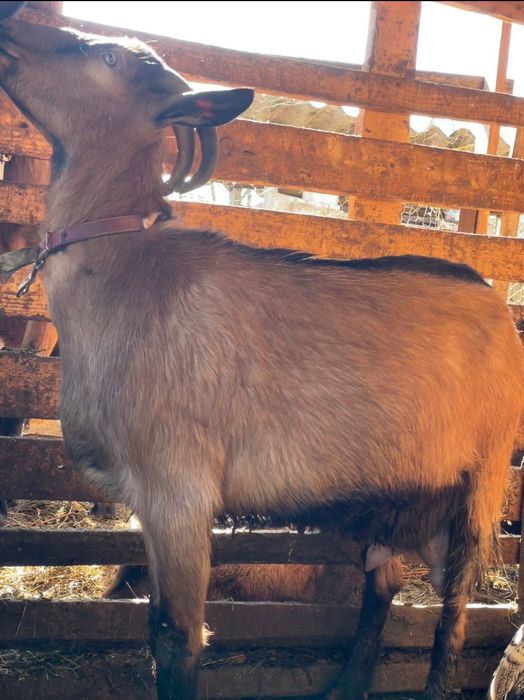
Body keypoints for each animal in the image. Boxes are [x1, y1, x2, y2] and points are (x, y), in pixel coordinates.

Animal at [0, 5, 523, 699]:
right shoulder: (149, 504)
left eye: (107, 57)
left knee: (453, 619)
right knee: (382, 585)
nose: (12, 22)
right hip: (395, 498)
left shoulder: (180, 490)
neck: (122, 268)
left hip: (480, 484)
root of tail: (494, 298)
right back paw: (346, 683)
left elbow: (176, 639)